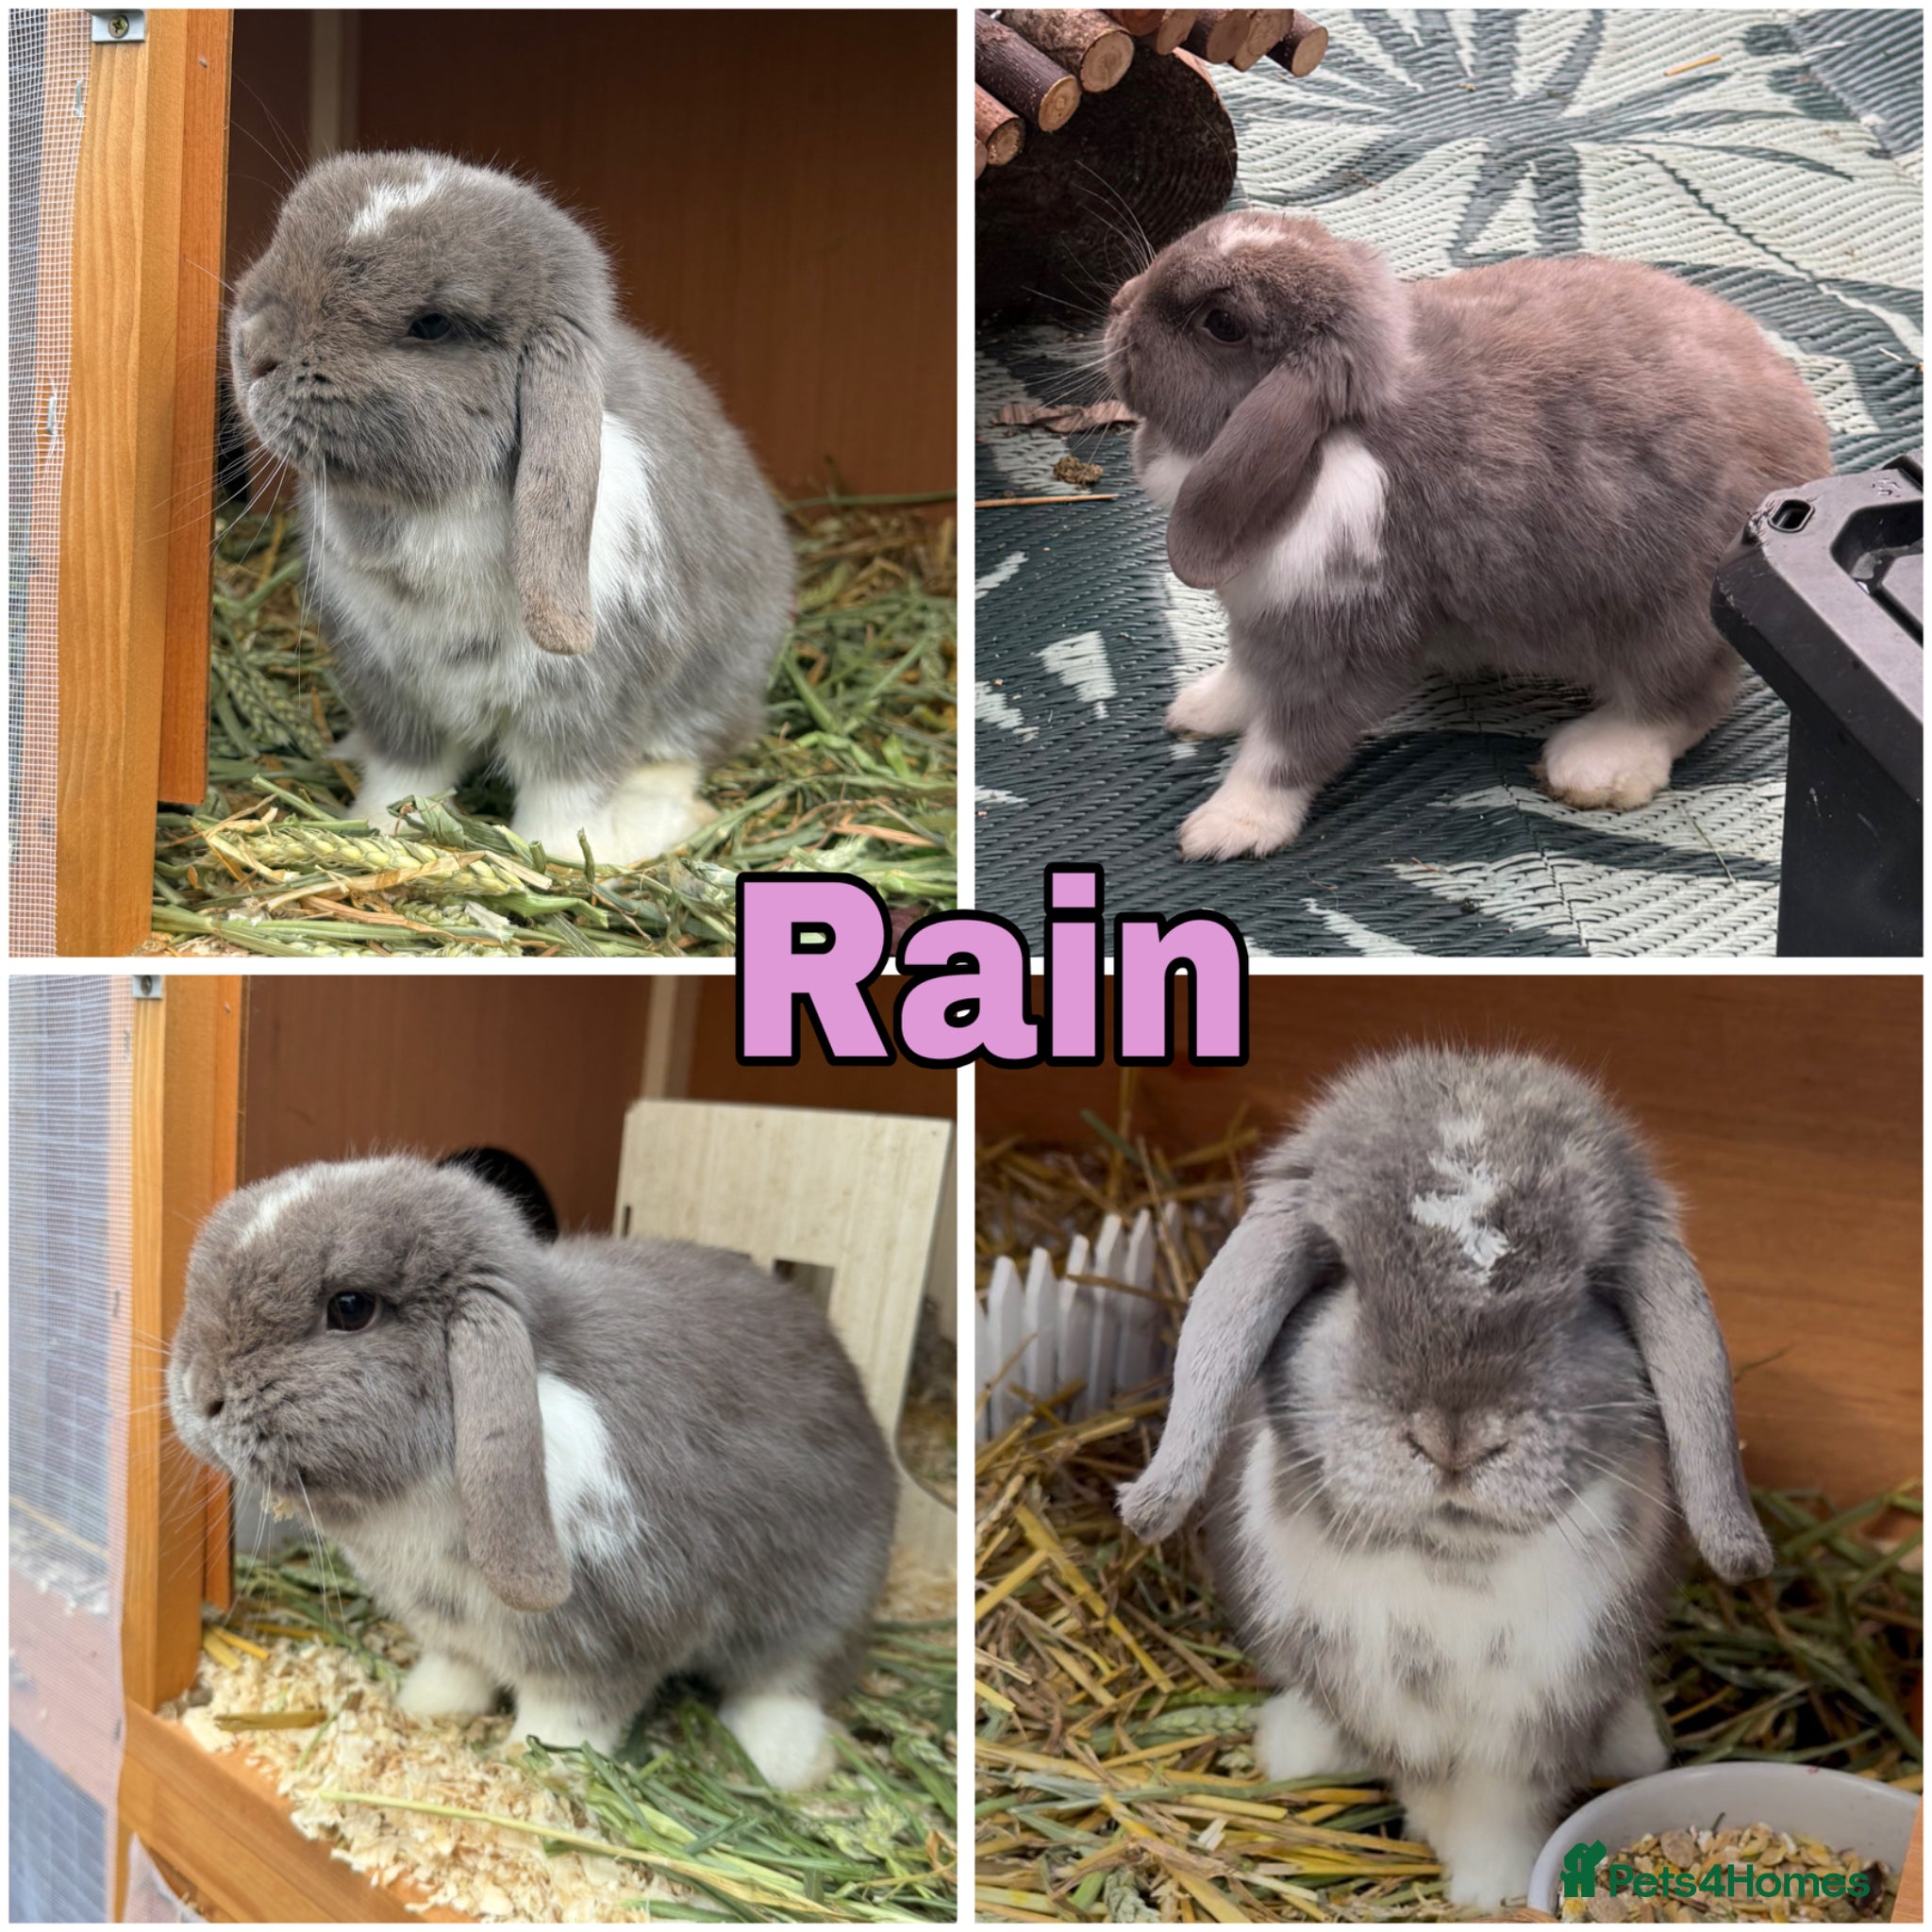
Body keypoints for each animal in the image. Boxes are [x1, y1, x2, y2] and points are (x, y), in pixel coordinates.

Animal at [166, 1155, 896, 1790]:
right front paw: (424, 1708)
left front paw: (530, 1763)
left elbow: (570, 1714)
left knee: (795, 1675)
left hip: (821, 1596)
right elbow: (457, 1668)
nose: (202, 1394)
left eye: (350, 1307)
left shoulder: (605, 1642)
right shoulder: (446, 1627)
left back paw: (786, 1765)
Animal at [228, 151, 795, 863]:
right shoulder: (391, 693)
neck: (432, 508)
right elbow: (404, 775)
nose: (254, 349)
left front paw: (559, 859)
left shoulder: (586, 704)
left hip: (717, 681)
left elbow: (566, 798)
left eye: (432, 325)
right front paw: (382, 830)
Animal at [1102, 210, 1832, 859]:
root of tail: (1812, 452)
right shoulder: (1266, 621)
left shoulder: (1347, 645)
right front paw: (1199, 710)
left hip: (1668, 624)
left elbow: (1287, 747)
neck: (1327, 445)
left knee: (1684, 701)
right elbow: (1247, 673)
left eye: (1221, 325)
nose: (1116, 306)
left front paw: (1228, 826)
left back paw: (1593, 765)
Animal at [1117, 1047, 1771, 1908]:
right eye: (1341, 1274)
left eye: (1589, 1289)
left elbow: (1500, 1808)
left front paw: (1495, 1891)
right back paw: (1291, 1748)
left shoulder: (1534, 1722)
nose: (1454, 1437)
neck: (1452, 1561)